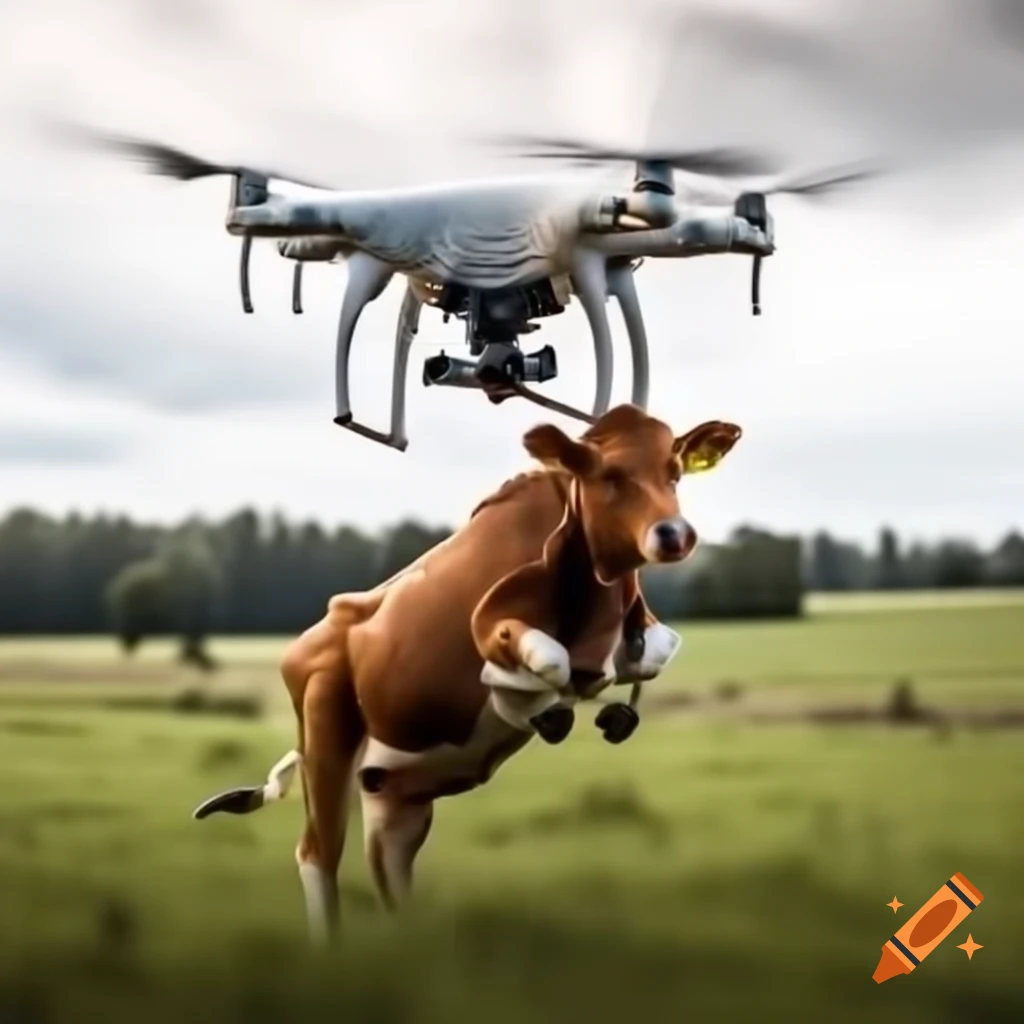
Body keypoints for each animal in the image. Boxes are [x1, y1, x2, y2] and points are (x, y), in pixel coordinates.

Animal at [191, 404, 742, 944]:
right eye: (609, 475)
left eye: (674, 472)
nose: (674, 534)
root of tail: (307, 640)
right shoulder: (493, 628)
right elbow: (547, 661)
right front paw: (539, 704)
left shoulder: (635, 631)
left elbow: (652, 652)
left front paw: (609, 706)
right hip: (326, 739)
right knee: (317, 856)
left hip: (393, 795)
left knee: (388, 874)